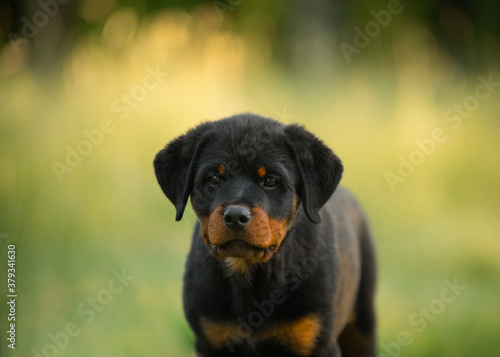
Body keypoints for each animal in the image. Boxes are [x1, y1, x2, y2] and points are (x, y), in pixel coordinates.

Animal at [154, 112, 376, 354]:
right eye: (213, 179)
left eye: (270, 180)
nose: (235, 216)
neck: (247, 272)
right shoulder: (211, 340)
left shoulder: (316, 341)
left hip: (362, 323)